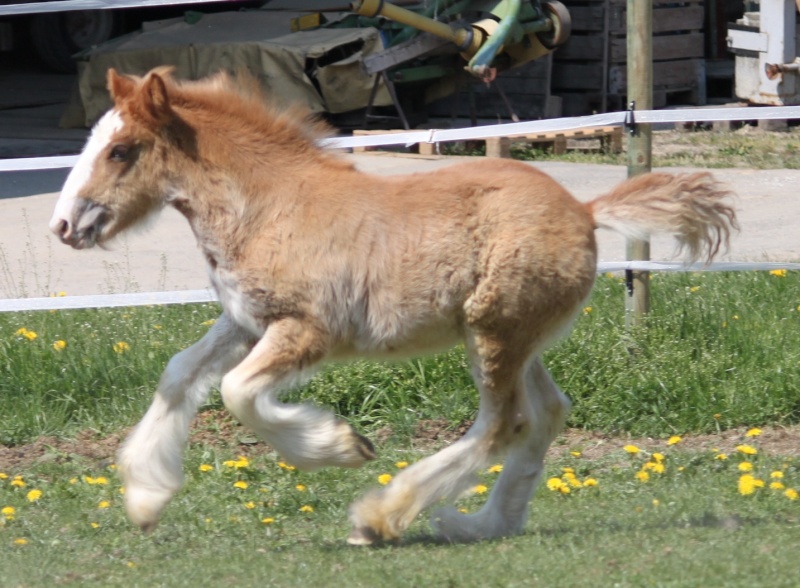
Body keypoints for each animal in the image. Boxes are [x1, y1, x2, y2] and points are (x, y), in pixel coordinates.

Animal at [50, 70, 736, 548]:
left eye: (120, 151)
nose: (63, 226)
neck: (266, 205)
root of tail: (587, 213)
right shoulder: (246, 321)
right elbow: (179, 375)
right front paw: (145, 497)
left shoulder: (307, 329)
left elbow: (238, 393)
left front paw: (342, 445)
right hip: (513, 337)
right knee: (546, 414)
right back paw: (484, 523)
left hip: (494, 333)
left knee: (504, 423)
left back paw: (382, 517)